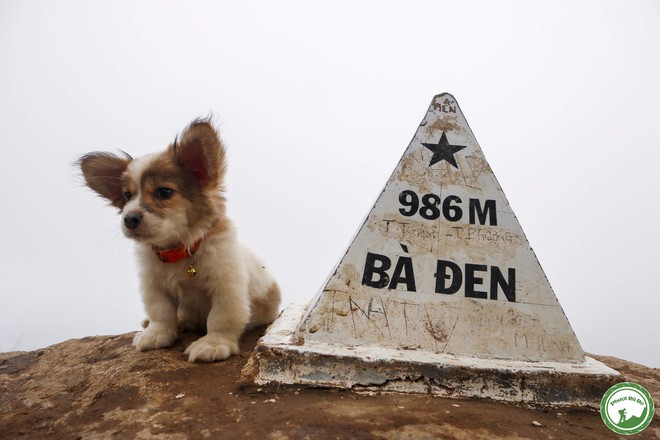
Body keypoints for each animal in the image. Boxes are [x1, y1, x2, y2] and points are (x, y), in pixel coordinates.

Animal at [79, 118, 282, 362]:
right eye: (127, 196)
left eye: (164, 192)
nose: (129, 219)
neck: (178, 251)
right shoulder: (153, 285)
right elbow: (161, 312)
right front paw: (156, 334)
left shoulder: (226, 287)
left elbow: (221, 318)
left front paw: (213, 344)